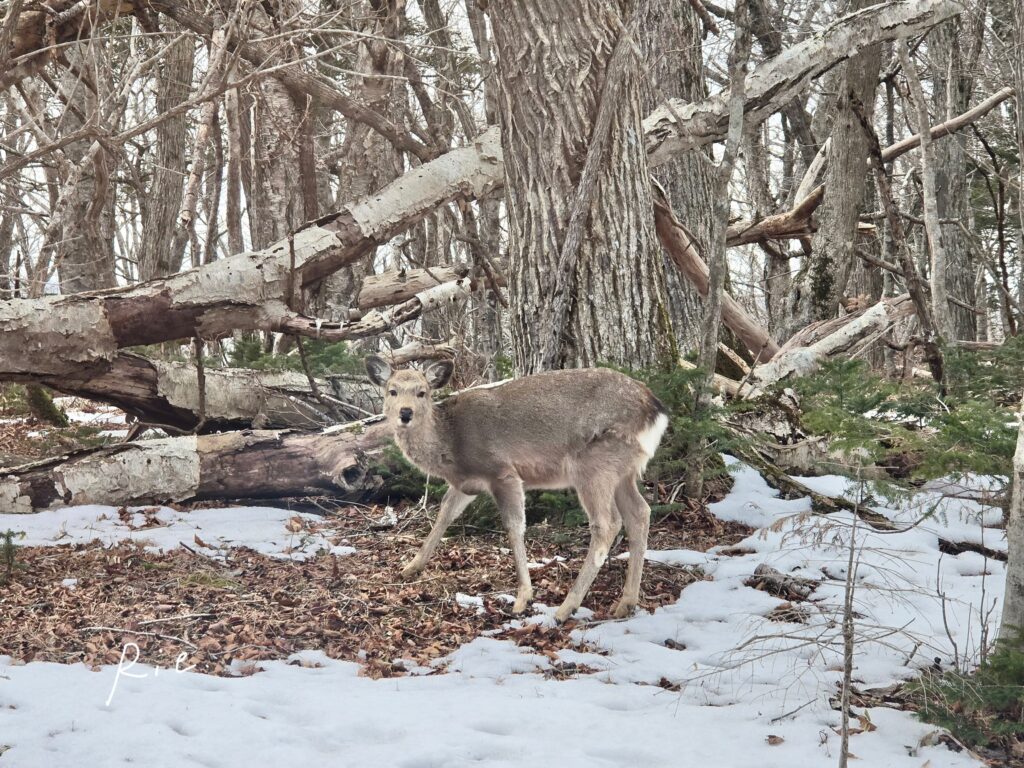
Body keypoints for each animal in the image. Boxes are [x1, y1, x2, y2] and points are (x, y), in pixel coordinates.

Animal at [365, 356, 669, 623]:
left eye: (422, 392)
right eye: (392, 391)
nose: (405, 413)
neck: (450, 445)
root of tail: (656, 410)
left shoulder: (502, 472)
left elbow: (514, 527)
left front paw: (524, 597)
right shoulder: (467, 484)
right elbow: (444, 515)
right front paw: (410, 567)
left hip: (595, 462)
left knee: (607, 523)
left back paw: (566, 608)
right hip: (624, 470)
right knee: (640, 513)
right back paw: (626, 602)